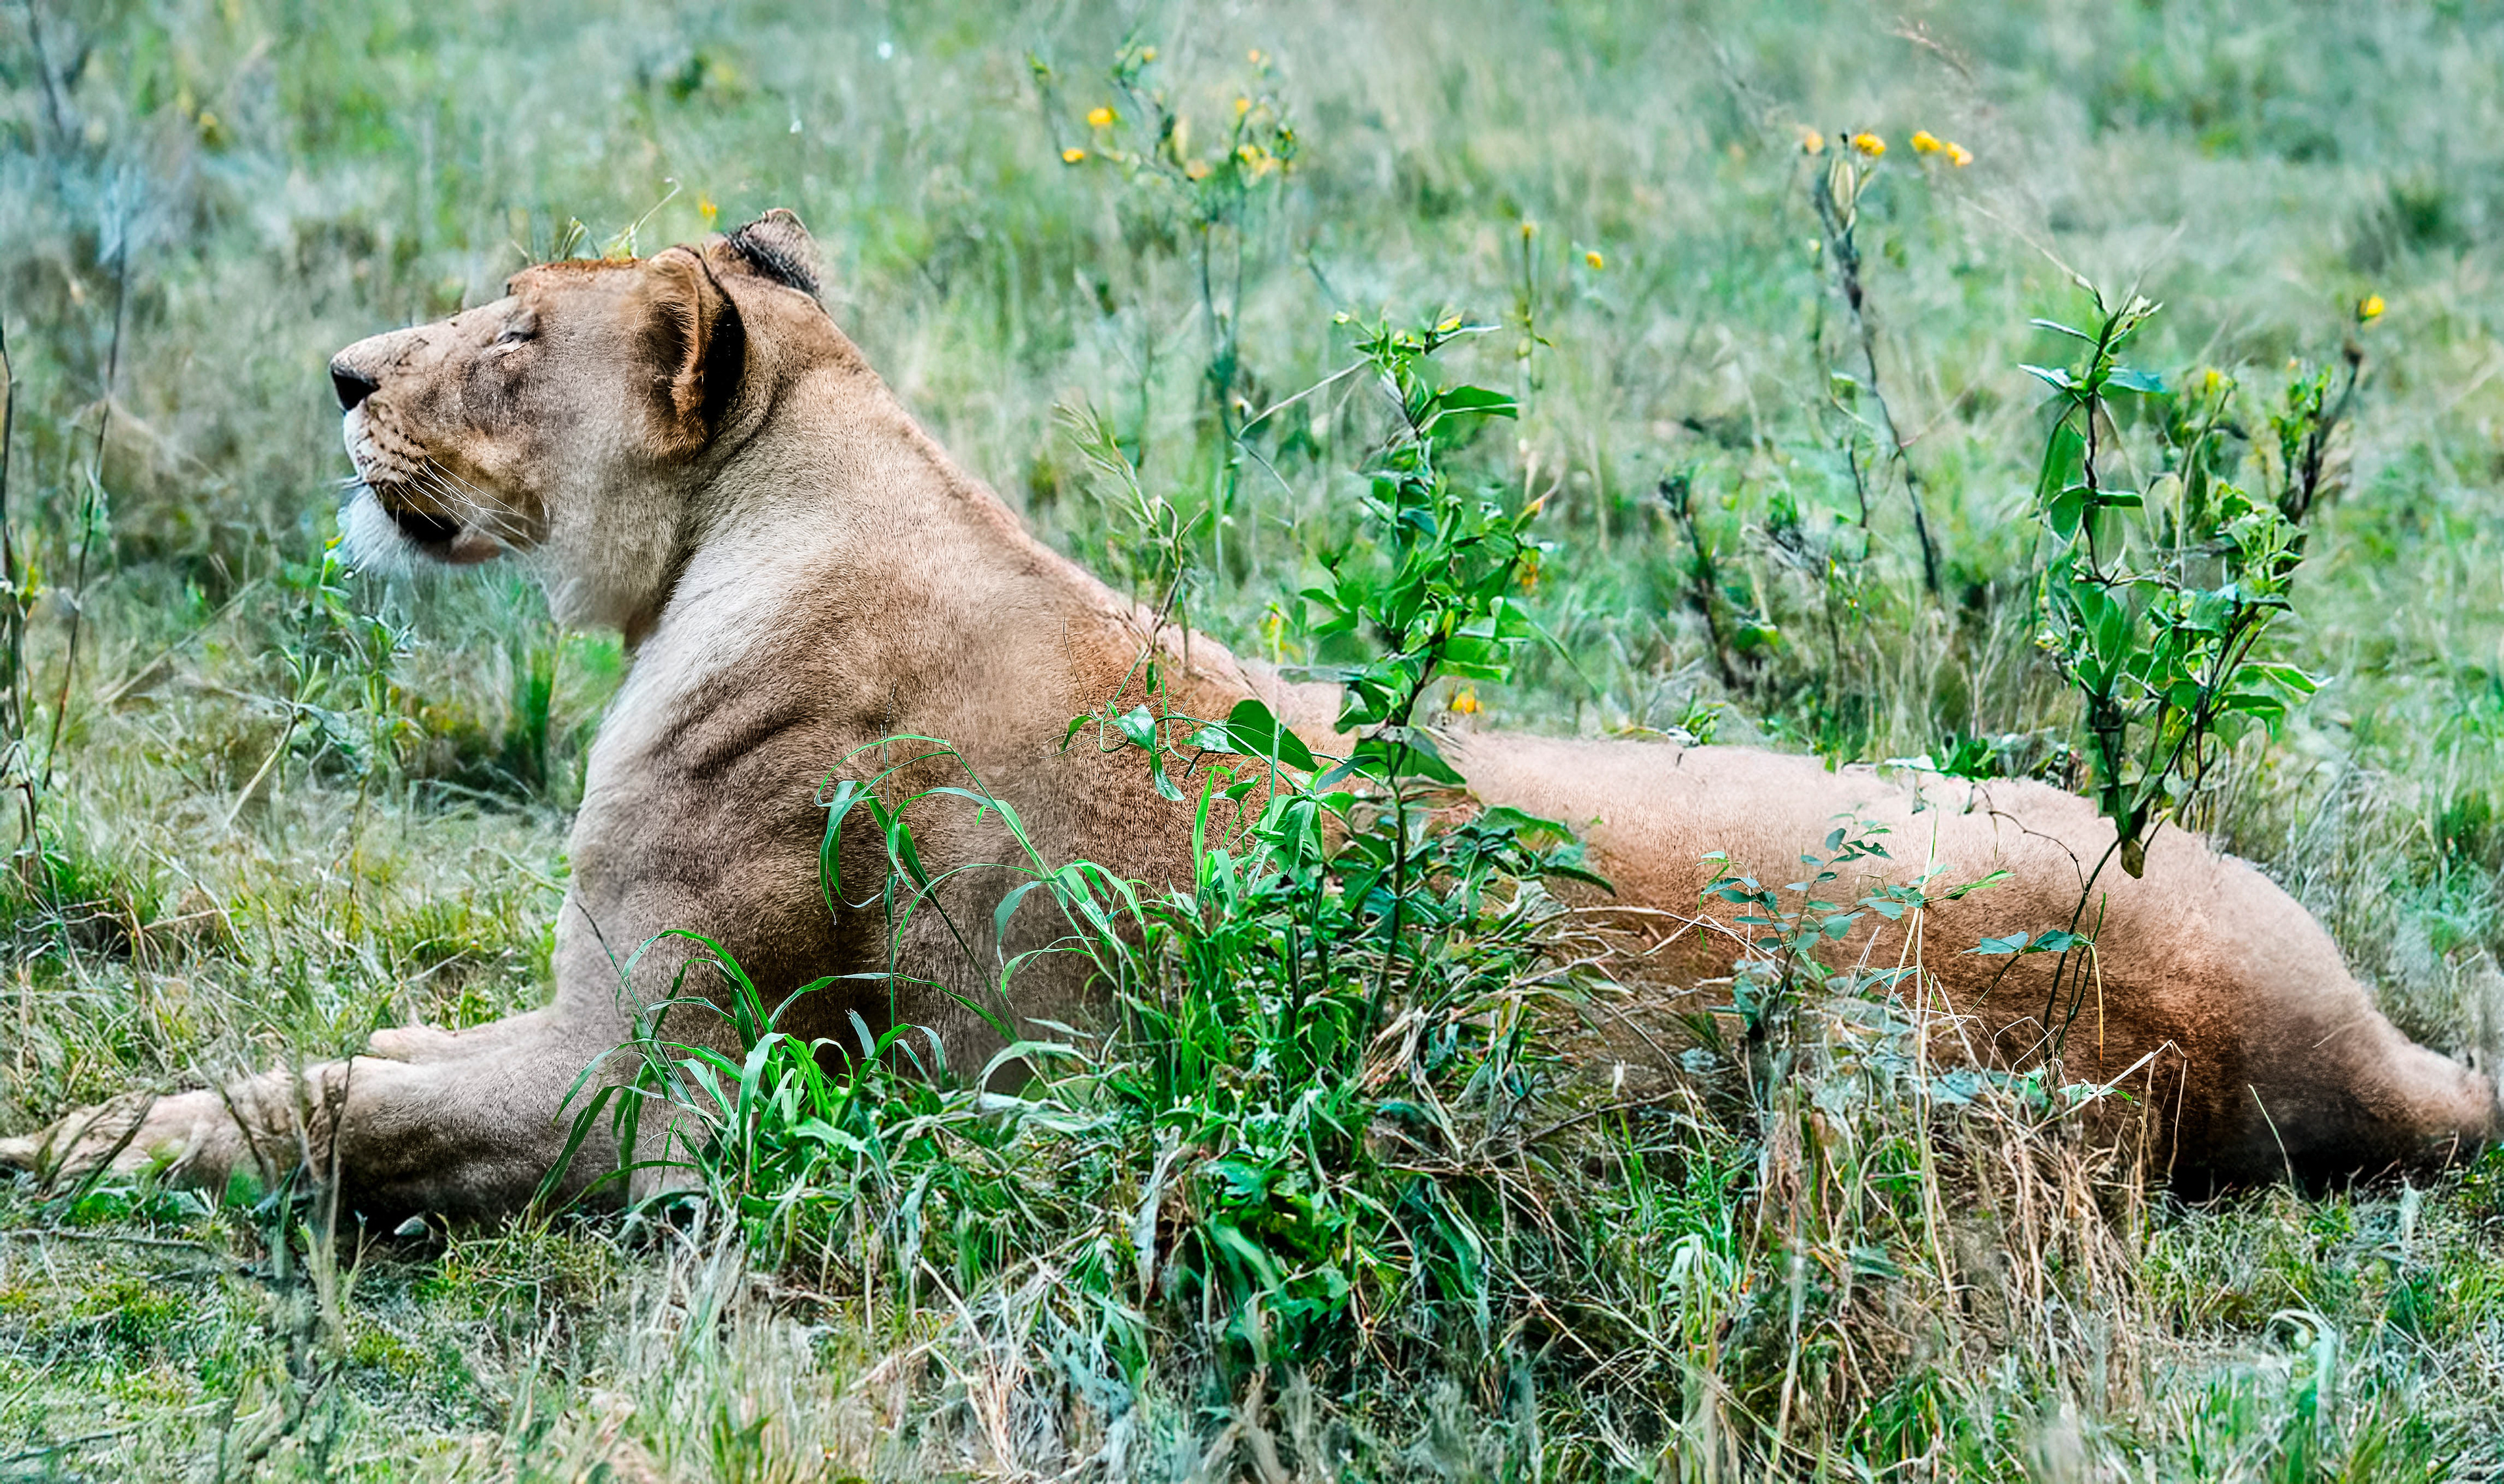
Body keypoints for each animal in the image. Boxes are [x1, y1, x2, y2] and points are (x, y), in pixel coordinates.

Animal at [3, 211, 2494, 1219]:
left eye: (512, 334)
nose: (340, 378)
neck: (784, 500)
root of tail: (2346, 1040)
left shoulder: (663, 1084)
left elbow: (333, 1103)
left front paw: (91, 1145)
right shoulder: (583, 1031)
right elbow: (381, 1054)